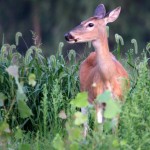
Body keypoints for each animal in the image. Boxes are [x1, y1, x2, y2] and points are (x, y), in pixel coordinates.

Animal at [64, 3, 129, 136]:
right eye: (81, 21)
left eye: (90, 24)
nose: (67, 35)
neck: (109, 78)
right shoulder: (97, 101)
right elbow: (98, 129)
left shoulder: (118, 101)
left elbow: (114, 130)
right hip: (84, 96)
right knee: (85, 124)